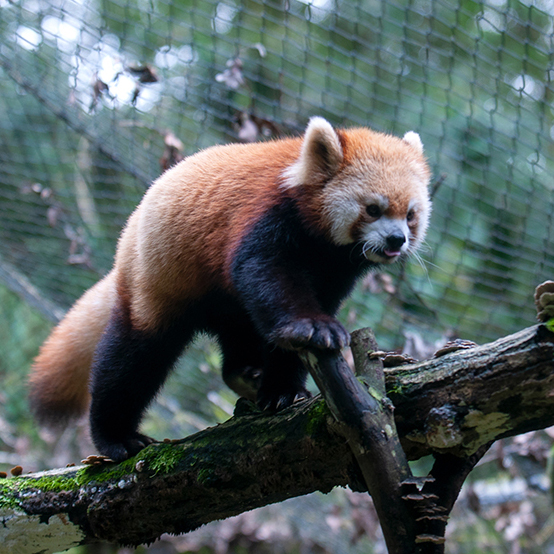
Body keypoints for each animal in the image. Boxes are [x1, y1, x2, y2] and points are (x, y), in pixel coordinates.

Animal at [27, 117, 432, 462]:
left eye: (410, 215)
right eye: (373, 209)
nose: (397, 240)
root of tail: (123, 250)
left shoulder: (335, 271)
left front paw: (283, 389)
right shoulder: (264, 220)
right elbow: (267, 277)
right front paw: (312, 327)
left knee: (241, 334)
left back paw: (246, 374)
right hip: (155, 281)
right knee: (132, 357)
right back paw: (117, 437)